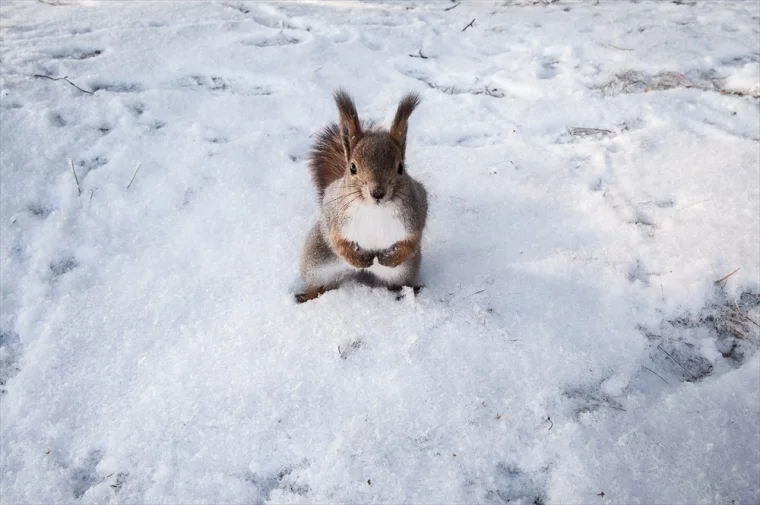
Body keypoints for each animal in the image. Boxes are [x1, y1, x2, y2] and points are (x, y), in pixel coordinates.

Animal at [296, 88, 428, 302]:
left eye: (400, 167)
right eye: (352, 167)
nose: (378, 192)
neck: (373, 208)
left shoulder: (416, 209)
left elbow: (412, 239)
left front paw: (390, 258)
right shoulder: (333, 212)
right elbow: (337, 240)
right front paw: (357, 258)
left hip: (404, 270)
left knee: (395, 281)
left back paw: (404, 290)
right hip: (317, 261)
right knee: (323, 283)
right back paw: (310, 294)